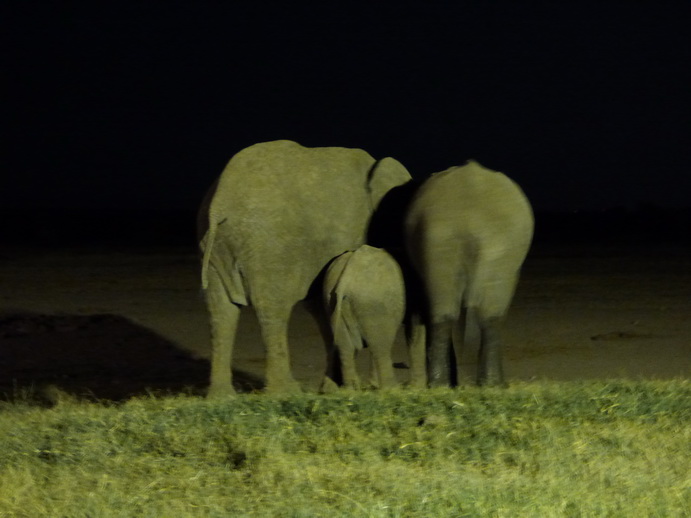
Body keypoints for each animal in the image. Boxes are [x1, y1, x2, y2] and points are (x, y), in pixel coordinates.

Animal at [324, 246, 414, 392]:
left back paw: (350, 390)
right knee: (380, 345)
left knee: (345, 346)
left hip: (330, 299)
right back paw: (392, 389)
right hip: (372, 302)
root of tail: (346, 278)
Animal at [406, 160, 536, 388]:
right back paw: (493, 385)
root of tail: (470, 221)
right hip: (476, 242)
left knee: (446, 311)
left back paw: (444, 385)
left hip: (444, 239)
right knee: (488, 312)